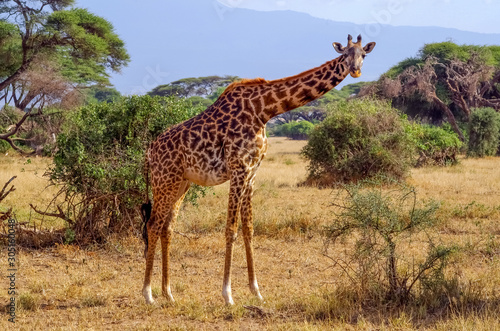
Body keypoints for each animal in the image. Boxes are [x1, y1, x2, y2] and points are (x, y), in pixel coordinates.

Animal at [141, 33, 376, 306]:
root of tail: (150, 151)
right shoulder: (238, 169)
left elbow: (249, 229)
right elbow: (230, 230)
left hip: (181, 183)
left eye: (364, 54)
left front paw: (256, 290)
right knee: (153, 225)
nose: (356, 70)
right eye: (345, 54)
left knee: (167, 228)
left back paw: (168, 293)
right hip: (164, 181)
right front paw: (228, 295)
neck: (265, 109)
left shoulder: (252, 173)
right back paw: (148, 294)